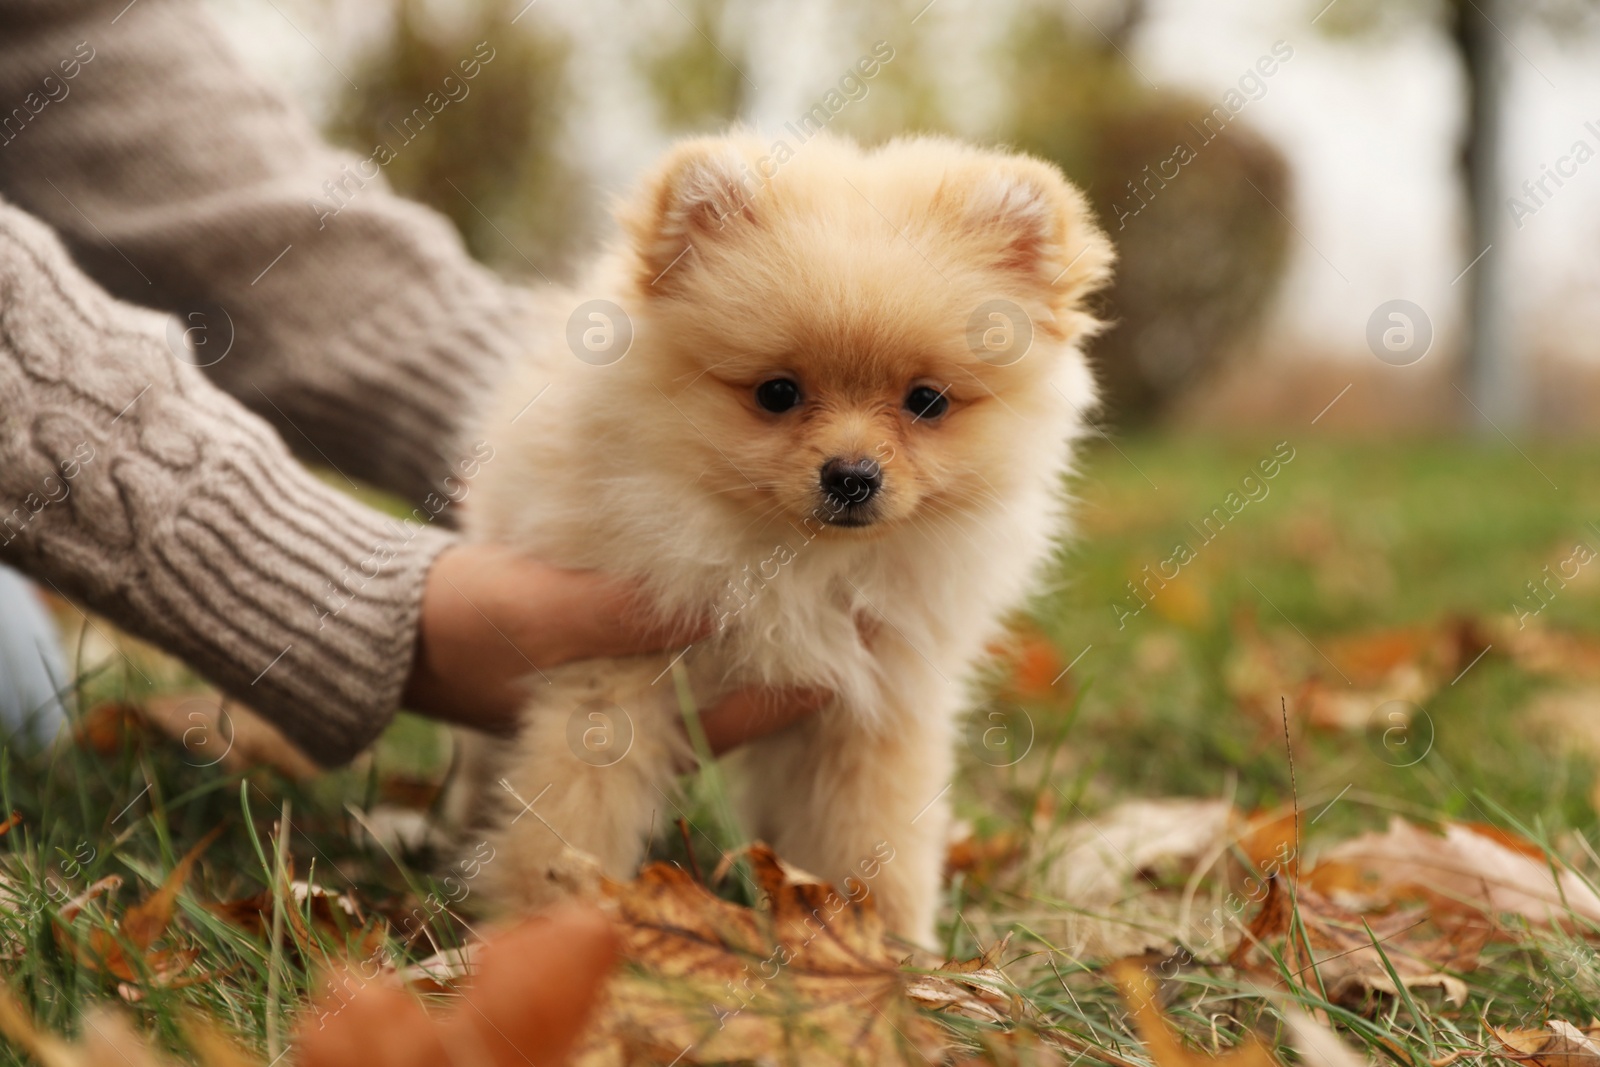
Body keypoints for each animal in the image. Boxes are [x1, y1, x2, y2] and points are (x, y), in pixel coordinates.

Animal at [457, 131, 1113, 940]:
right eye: (777, 393)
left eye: (927, 402)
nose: (852, 475)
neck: (800, 561)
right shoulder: (609, 675)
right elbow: (572, 817)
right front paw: (540, 931)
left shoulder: (873, 702)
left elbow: (877, 834)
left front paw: (893, 942)